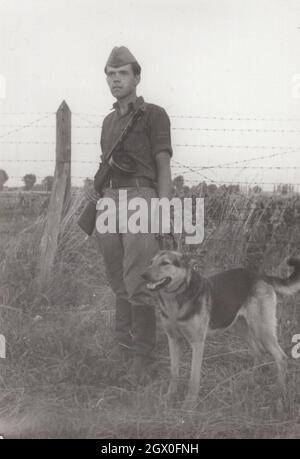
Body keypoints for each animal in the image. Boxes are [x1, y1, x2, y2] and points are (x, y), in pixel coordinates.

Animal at [142, 252, 300, 410]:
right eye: (150, 262)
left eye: (165, 263)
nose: (143, 275)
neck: (176, 298)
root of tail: (261, 276)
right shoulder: (173, 339)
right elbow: (173, 373)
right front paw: (169, 397)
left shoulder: (197, 343)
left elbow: (194, 378)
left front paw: (189, 404)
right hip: (240, 327)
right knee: (259, 352)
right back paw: (251, 381)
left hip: (261, 329)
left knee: (281, 358)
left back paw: (279, 393)